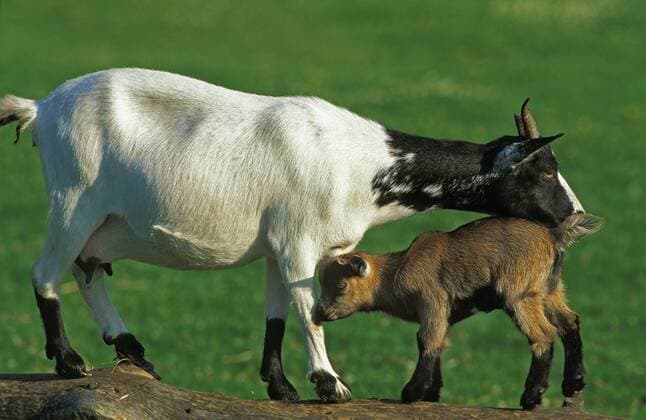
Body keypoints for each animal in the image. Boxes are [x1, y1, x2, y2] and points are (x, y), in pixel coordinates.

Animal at [315, 213, 602, 409]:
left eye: (340, 284)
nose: (320, 313)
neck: (396, 273)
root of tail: (553, 236)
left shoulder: (432, 301)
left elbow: (426, 341)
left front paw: (412, 393)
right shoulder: (445, 315)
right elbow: (440, 343)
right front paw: (432, 394)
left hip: (519, 293)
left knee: (543, 334)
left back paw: (531, 397)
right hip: (550, 289)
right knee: (570, 323)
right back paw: (573, 382)